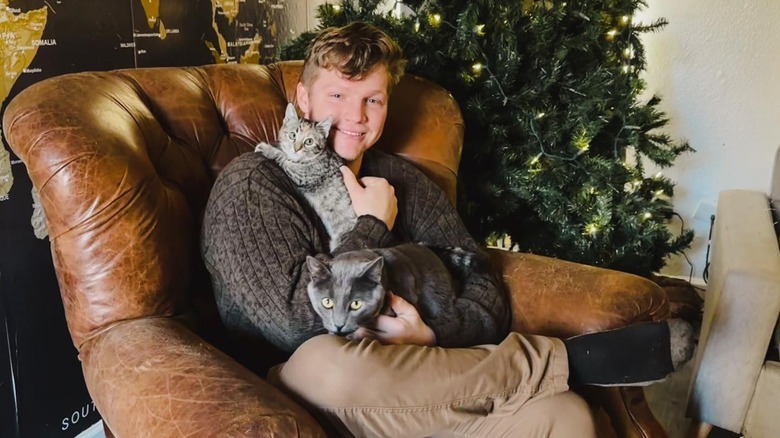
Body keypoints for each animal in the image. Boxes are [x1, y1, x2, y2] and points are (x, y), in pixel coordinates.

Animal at [256, 103, 356, 252]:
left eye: (309, 141)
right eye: (292, 135)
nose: (296, 149)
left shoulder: (302, 175)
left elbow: (282, 157)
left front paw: (266, 148)